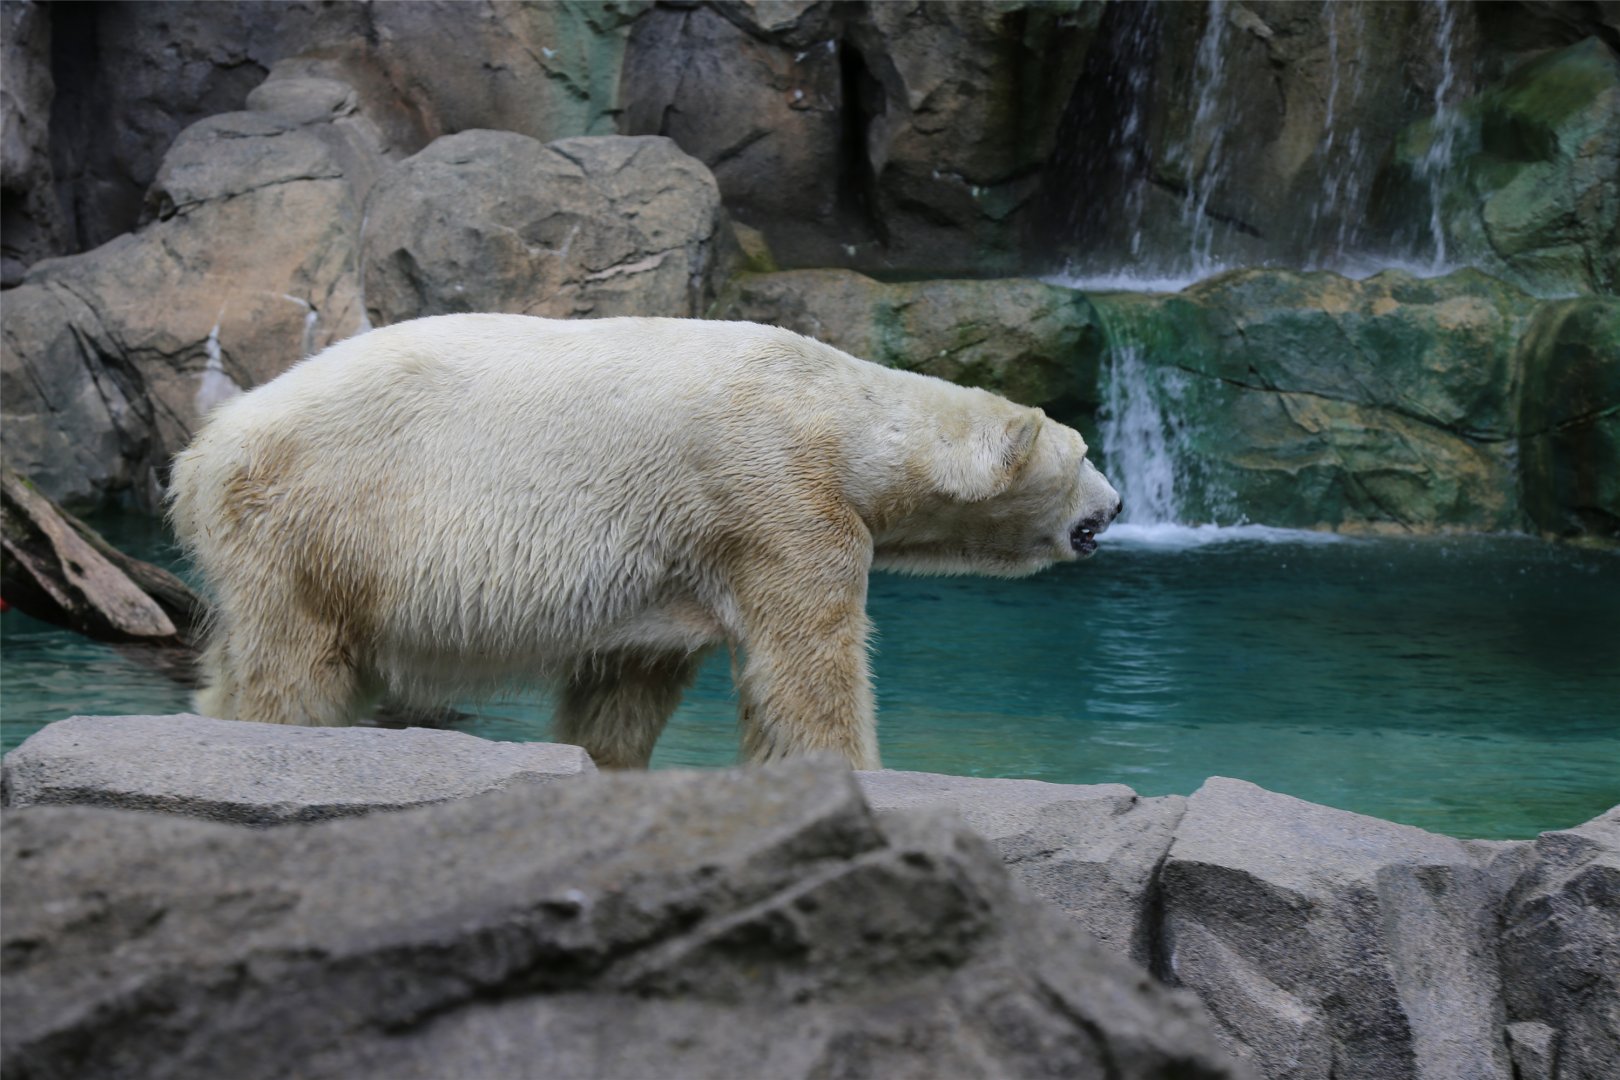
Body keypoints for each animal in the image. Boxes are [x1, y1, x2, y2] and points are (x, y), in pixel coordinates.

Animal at [169, 314, 1120, 769]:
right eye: (1084, 455)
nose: (1115, 506)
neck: (837, 413)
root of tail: (200, 452)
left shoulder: (670, 566)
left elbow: (627, 683)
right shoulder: (774, 494)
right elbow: (807, 662)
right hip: (321, 518)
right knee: (296, 663)